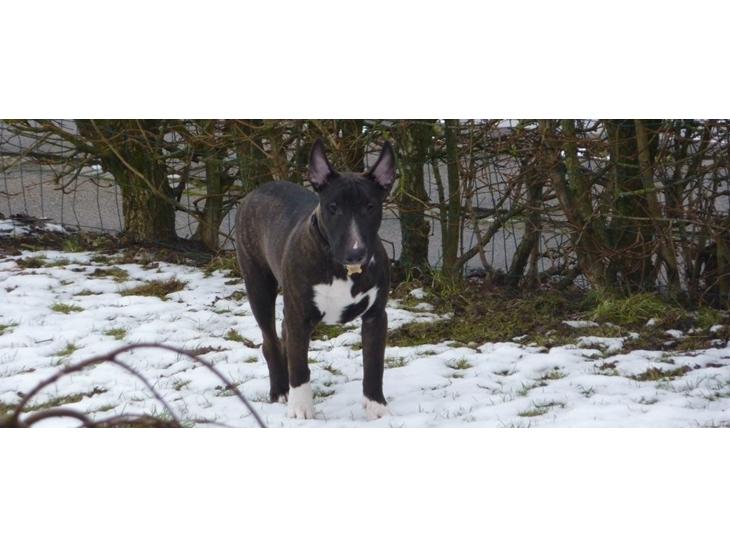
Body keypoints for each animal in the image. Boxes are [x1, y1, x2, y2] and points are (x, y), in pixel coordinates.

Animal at [234, 139, 396, 420]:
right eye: (333, 207)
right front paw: (301, 408)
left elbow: (374, 364)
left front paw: (376, 406)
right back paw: (281, 389)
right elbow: (300, 365)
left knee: (284, 335)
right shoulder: (299, 315)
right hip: (258, 285)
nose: (356, 252)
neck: (344, 269)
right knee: (271, 340)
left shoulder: (376, 315)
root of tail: (259, 188)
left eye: (370, 207)